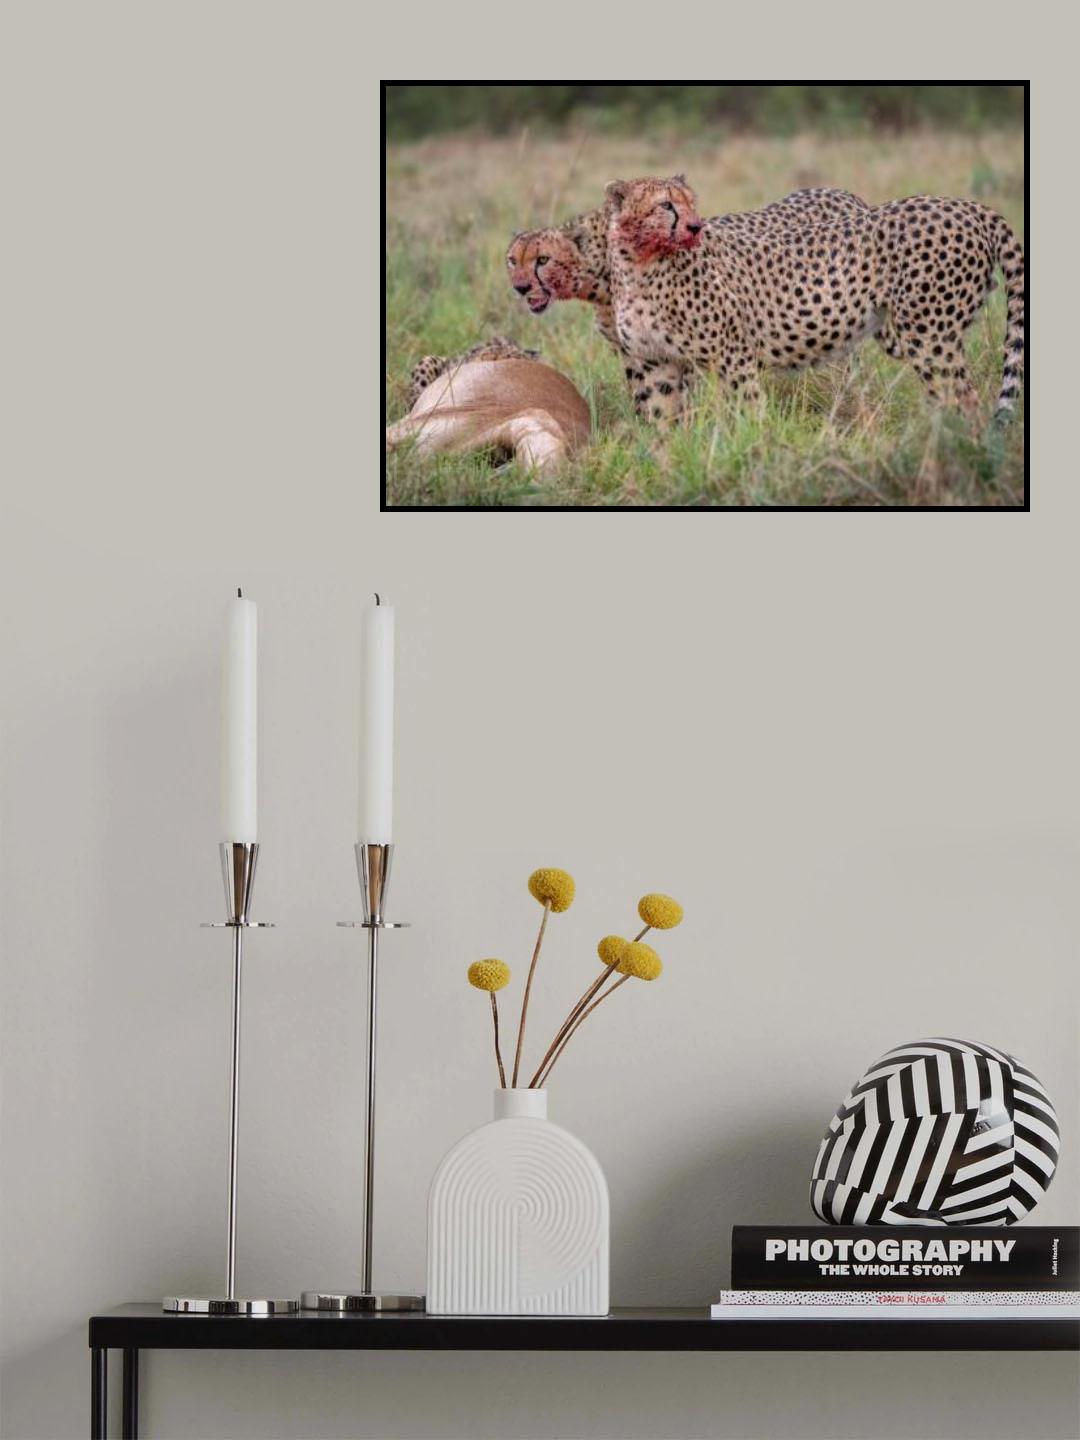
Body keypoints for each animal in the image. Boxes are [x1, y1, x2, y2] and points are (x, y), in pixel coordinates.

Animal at [507, 185, 870, 425]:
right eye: (512, 260)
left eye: (542, 260)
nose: (520, 287)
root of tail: (842, 193)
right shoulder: (634, 350)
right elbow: (646, 395)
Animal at [604, 174, 1024, 424]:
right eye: (665, 205)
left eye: (690, 202)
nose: (695, 225)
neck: (640, 264)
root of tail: (967, 205)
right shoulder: (656, 363)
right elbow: (662, 422)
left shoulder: (733, 355)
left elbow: (749, 411)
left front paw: (755, 453)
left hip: (929, 335)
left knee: (964, 400)